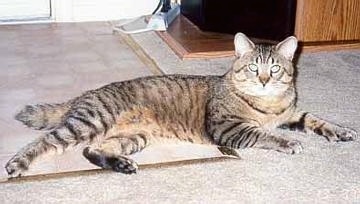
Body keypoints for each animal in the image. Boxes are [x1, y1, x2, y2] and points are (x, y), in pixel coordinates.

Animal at [5, 32, 358, 176]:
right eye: (252, 68)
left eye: (274, 69)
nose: (263, 80)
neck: (269, 104)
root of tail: (85, 94)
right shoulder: (229, 129)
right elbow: (266, 134)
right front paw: (288, 142)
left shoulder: (292, 113)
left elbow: (316, 120)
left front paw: (341, 131)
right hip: (91, 121)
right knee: (45, 141)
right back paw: (18, 163)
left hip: (133, 138)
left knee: (91, 151)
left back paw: (122, 165)